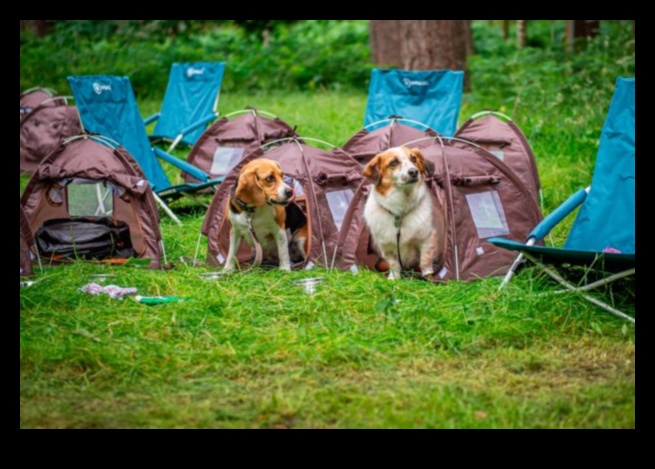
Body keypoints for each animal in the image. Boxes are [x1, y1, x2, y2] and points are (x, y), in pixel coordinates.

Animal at [364, 147, 446, 278]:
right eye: (393, 162)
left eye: (414, 158)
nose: (414, 172)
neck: (400, 211)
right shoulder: (386, 245)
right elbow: (393, 264)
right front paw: (394, 278)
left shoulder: (427, 239)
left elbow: (425, 262)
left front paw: (428, 277)